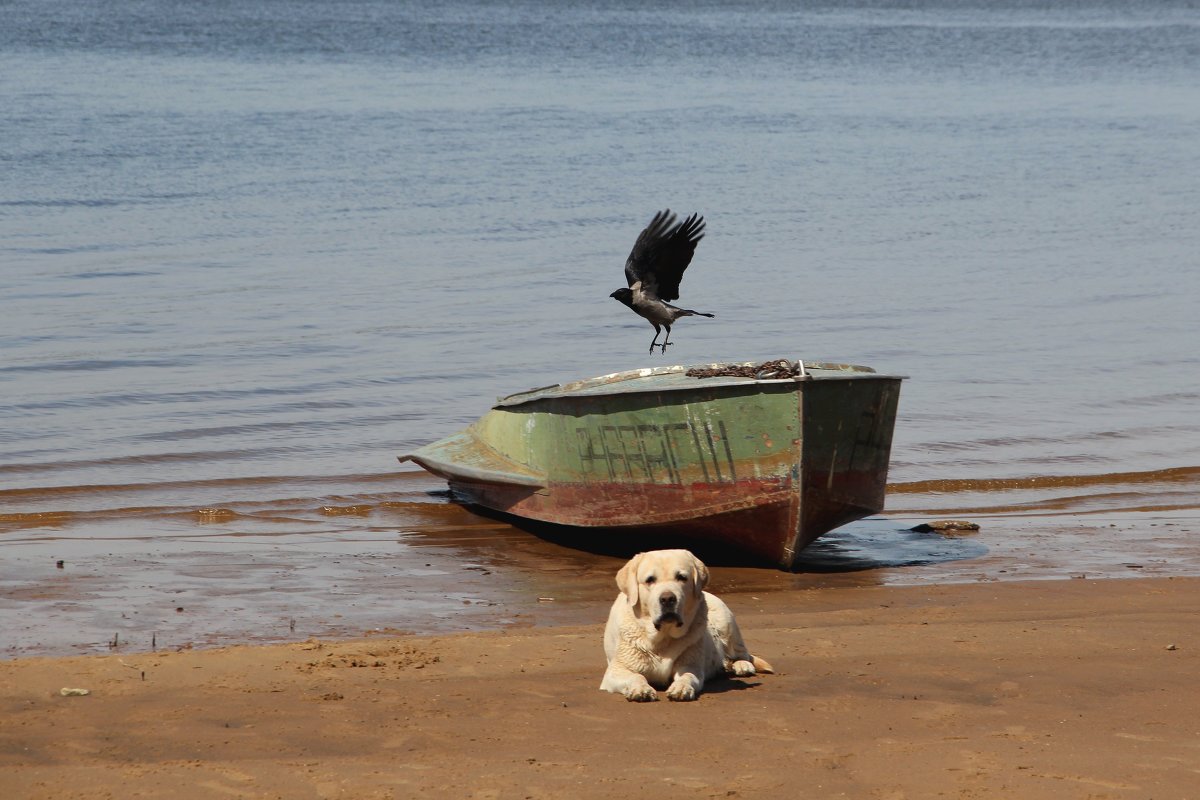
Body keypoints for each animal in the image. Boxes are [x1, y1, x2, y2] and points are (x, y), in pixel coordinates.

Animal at [595, 551, 772, 700]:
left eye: (681, 577)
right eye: (650, 580)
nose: (667, 599)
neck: (662, 638)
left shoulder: (690, 665)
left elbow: (688, 676)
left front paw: (681, 688)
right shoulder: (616, 670)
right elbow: (636, 676)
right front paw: (641, 689)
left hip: (726, 622)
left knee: (743, 653)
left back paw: (742, 665)